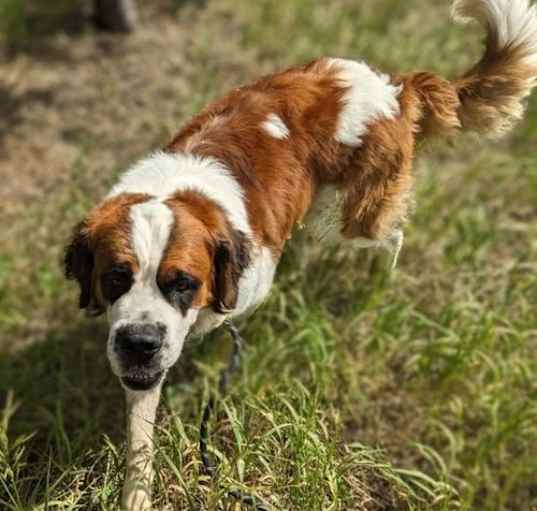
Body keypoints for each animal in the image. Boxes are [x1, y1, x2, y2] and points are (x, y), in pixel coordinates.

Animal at [63, 2, 536, 510]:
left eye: (183, 284)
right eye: (116, 278)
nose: (140, 343)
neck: (182, 194)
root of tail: (393, 87)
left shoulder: (241, 290)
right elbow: (141, 428)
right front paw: (136, 492)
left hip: (351, 218)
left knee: (390, 237)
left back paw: (376, 287)